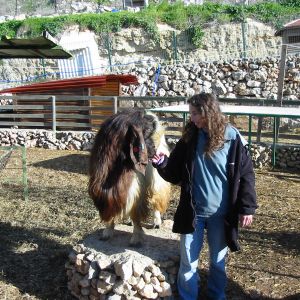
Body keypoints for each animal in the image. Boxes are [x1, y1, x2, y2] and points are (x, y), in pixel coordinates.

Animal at [87, 108, 171, 246]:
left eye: (148, 133)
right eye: (144, 135)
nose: (154, 151)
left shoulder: (136, 183)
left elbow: (135, 206)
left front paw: (136, 238)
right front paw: (107, 231)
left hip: (155, 176)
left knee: (155, 194)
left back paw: (156, 222)